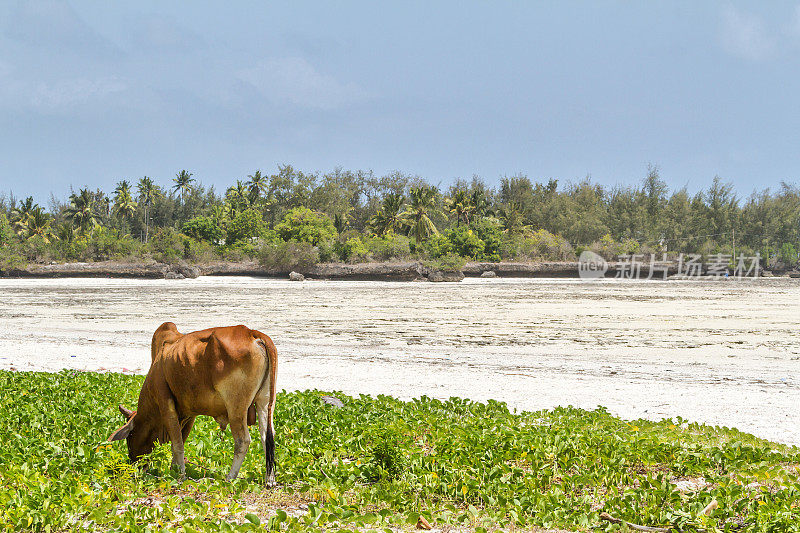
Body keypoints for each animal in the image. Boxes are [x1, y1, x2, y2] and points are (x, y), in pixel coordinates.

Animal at [108, 322, 278, 484]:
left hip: (236, 408)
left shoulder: (166, 406)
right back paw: (269, 480)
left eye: (129, 437)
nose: (133, 465)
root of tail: (252, 333)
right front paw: (175, 469)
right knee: (266, 437)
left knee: (243, 441)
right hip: (265, 403)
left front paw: (180, 476)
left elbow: (177, 444)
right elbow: (180, 441)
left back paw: (230, 478)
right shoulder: (189, 414)